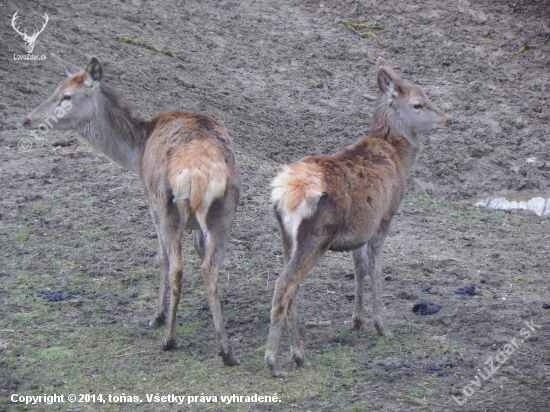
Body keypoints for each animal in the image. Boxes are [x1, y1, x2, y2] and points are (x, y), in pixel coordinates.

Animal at [266, 57, 452, 376]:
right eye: (418, 104)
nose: (448, 119)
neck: (399, 160)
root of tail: (285, 192)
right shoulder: (384, 218)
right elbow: (376, 269)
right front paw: (381, 325)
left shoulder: (359, 230)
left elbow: (359, 268)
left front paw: (357, 320)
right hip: (316, 236)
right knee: (284, 285)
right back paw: (274, 361)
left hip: (287, 238)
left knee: (292, 287)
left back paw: (298, 354)